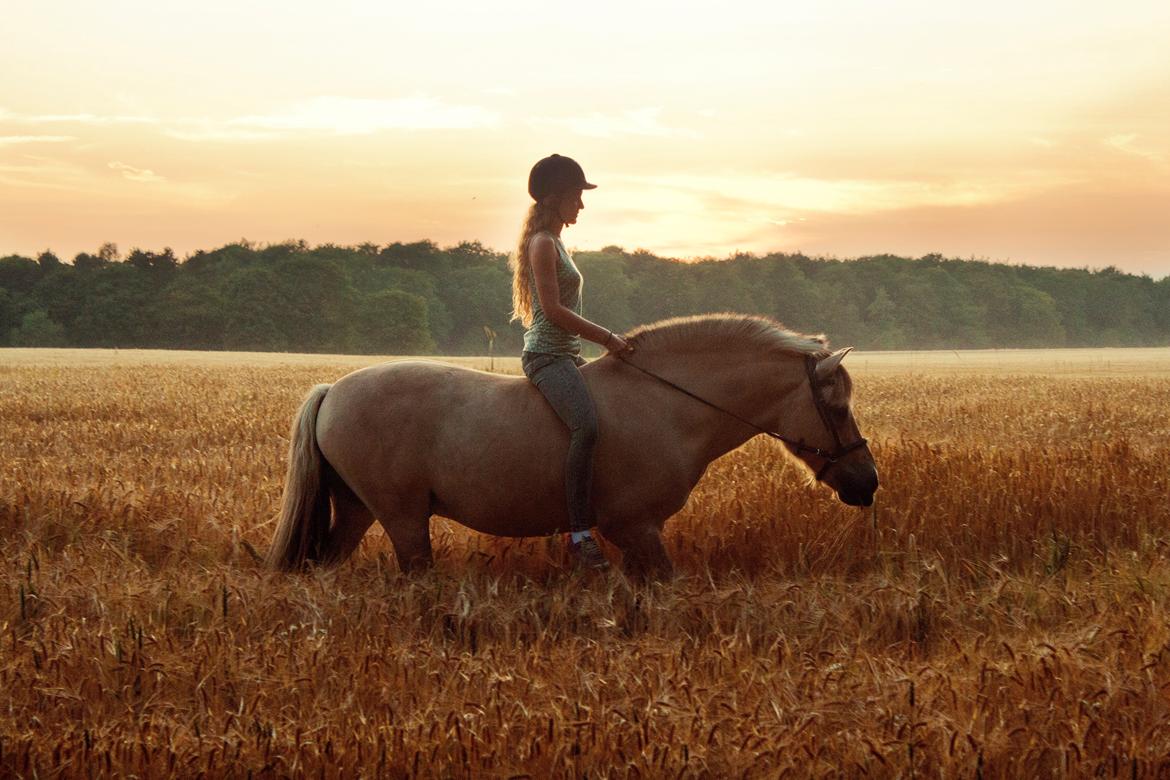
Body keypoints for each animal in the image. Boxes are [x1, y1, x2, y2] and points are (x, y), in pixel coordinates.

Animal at [267, 313, 879, 580]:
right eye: (838, 406)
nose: (868, 481)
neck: (668, 405)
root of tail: (333, 390)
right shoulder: (634, 528)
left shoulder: (637, 534)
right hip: (401, 518)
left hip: (356, 510)